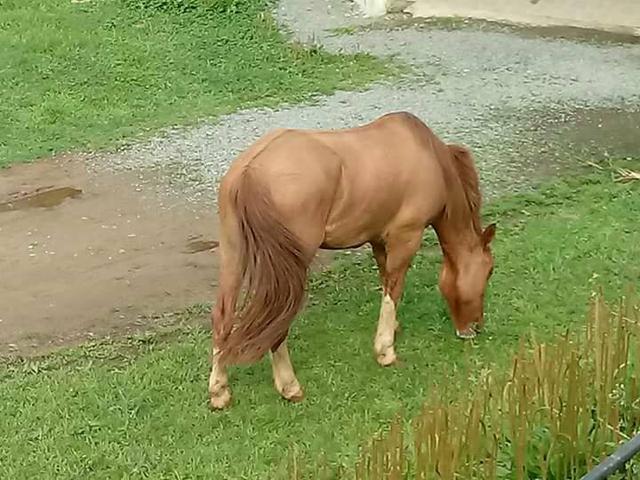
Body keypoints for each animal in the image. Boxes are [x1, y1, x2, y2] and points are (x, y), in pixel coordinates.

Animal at [208, 111, 496, 409]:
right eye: (489, 271)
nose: (474, 328)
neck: (429, 157)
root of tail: (249, 172)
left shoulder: (379, 240)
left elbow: (385, 282)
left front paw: (392, 328)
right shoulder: (406, 236)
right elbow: (394, 288)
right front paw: (385, 351)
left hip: (234, 253)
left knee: (223, 315)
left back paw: (219, 391)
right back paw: (289, 386)